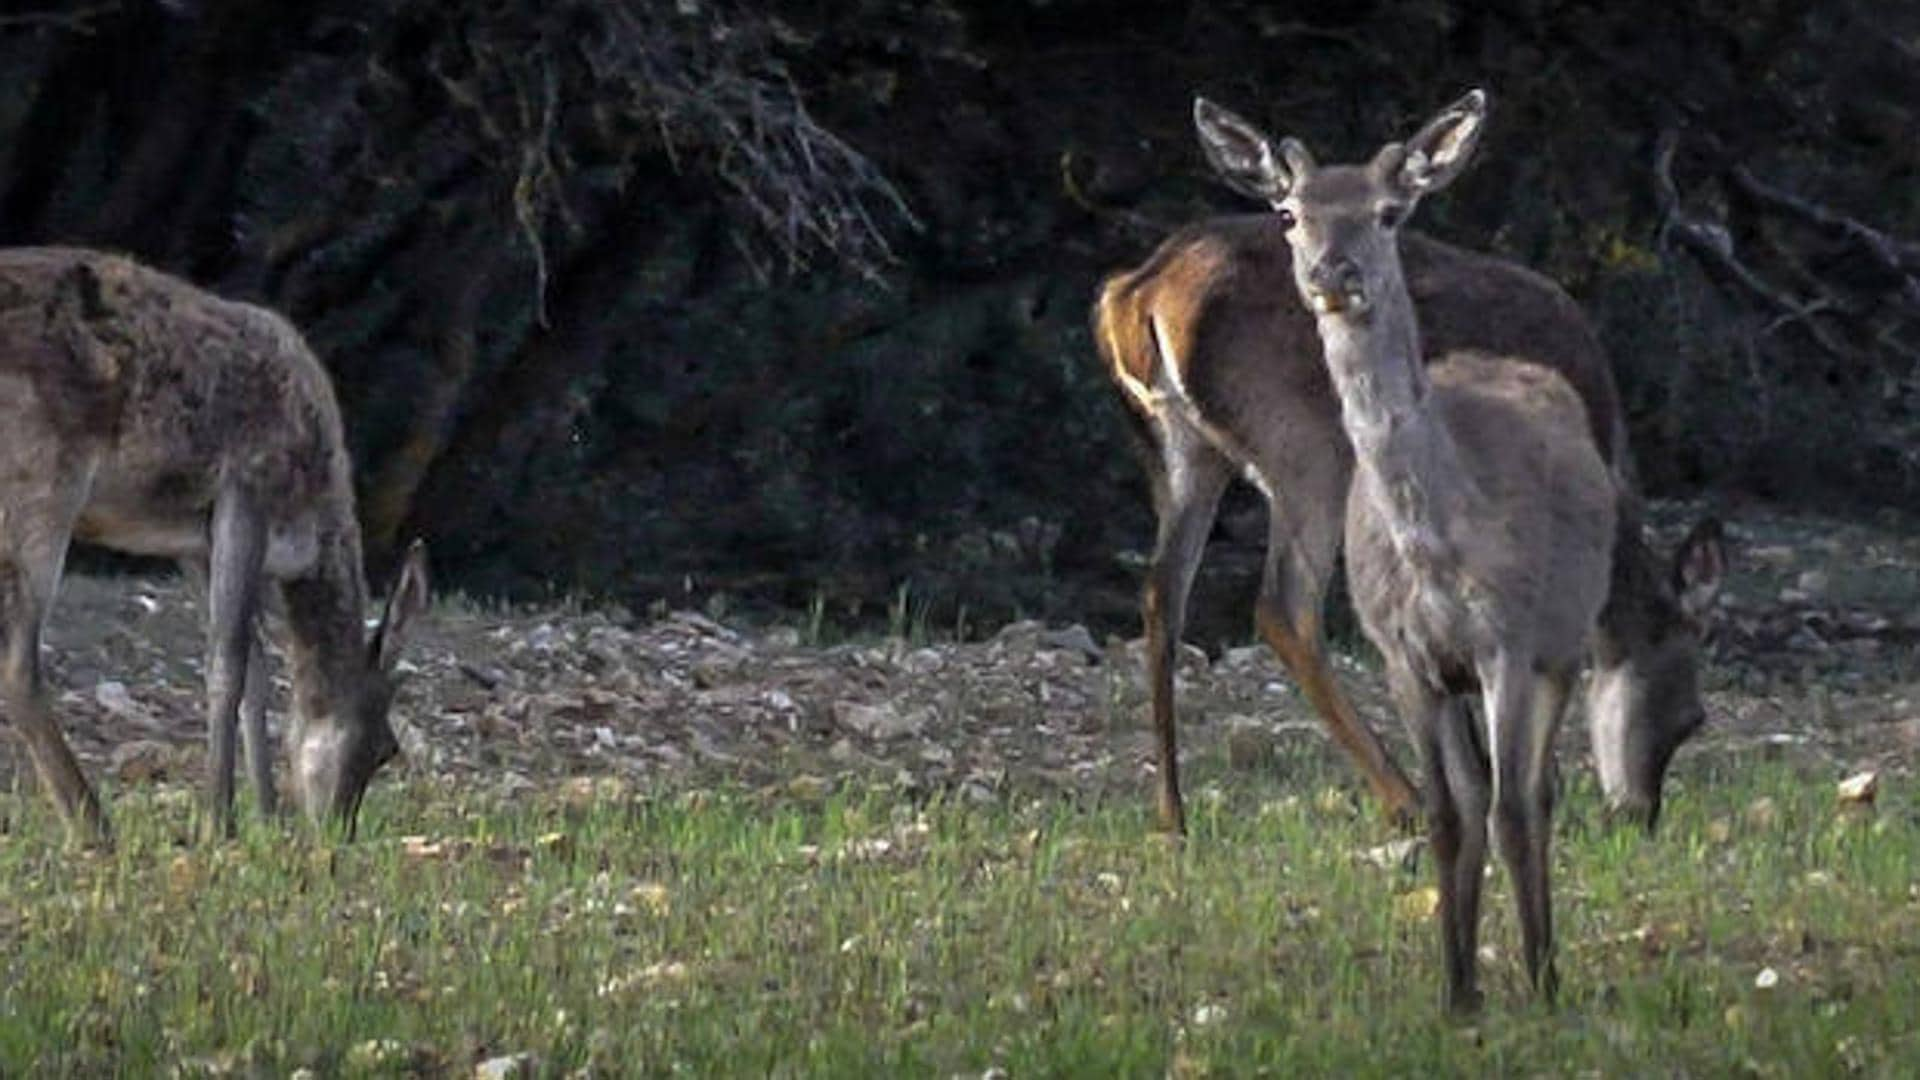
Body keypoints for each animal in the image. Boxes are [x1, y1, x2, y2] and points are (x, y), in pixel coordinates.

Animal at [0, 245, 428, 841]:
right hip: (44, 483)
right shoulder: (245, 491)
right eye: (387, 748)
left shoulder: (192, 542)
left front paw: (266, 819)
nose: (337, 834)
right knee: (17, 662)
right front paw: (217, 823)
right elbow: (227, 661)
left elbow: (257, 667)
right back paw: (96, 828)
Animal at [1098, 100, 1728, 837]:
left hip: (1183, 453)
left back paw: (1173, 814)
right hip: (1305, 450)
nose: (1638, 815)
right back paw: (1404, 799)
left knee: (1161, 593)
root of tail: (1134, 297)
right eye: (1692, 717)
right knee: (1283, 607)